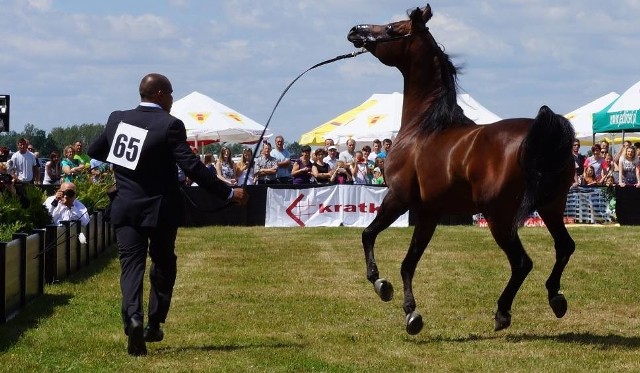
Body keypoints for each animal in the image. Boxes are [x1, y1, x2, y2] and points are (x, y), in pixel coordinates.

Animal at [348, 3, 576, 334]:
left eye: (392, 28)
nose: (355, 30)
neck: (424, 126)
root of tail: (541, 131)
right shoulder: (429, 212)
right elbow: (409, 262)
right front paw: (412, 313)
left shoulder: (398, 198)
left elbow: (368, 235)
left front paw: (381, 285)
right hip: (551, 207)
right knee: (564, 247)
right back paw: (555, 297)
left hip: (499, 217)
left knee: (522, 262)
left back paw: (503, 312)